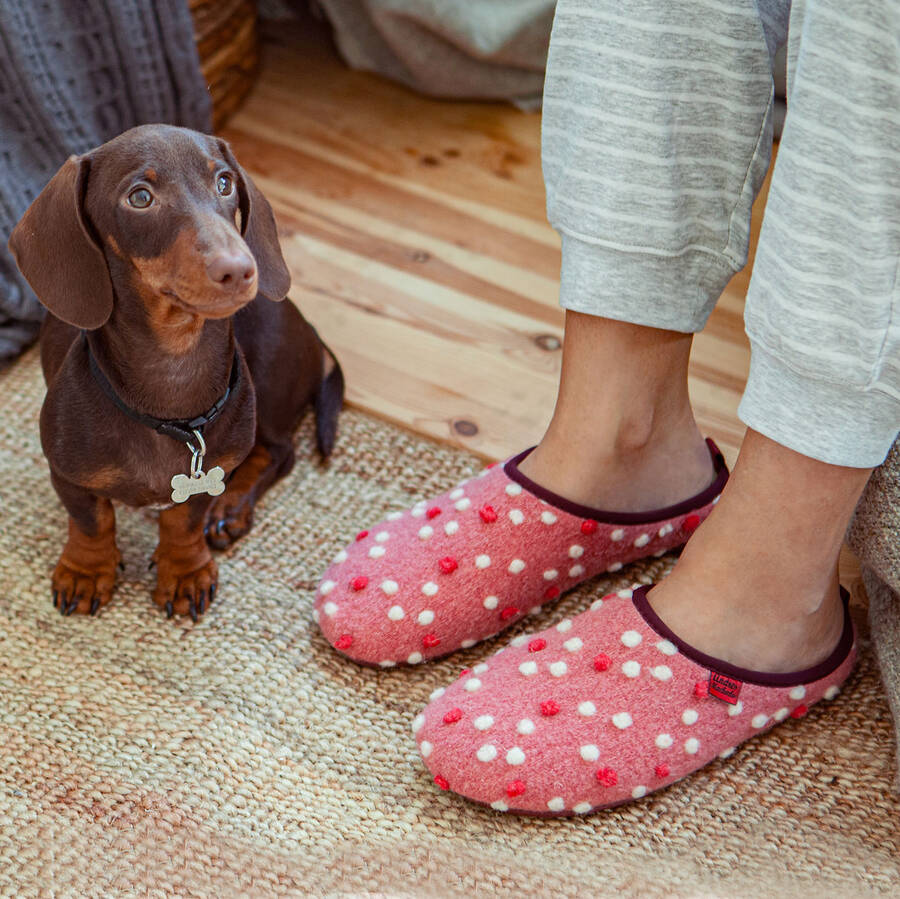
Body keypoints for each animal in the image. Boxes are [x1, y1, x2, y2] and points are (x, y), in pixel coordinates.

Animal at [7, 125, 344, 620]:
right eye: (140, 197)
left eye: (224, 182)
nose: (239, 270)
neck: (173, 372)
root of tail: (311, 331)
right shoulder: (68, 474)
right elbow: (91, 522)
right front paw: (86, 571)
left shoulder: (211, 470)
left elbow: (185, 520)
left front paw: (185, 572)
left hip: (266, 384)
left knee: (279, 452)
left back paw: (230, 508)